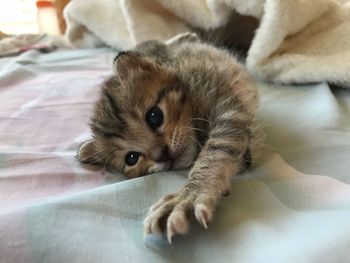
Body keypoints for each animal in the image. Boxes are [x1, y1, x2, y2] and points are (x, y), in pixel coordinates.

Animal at [77, 32, 258, 243]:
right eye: (132, 158)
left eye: (154, 116)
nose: (163, 155)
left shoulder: (227, 110)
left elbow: (216, 152)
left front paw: (189, 197)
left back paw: (185, 36)